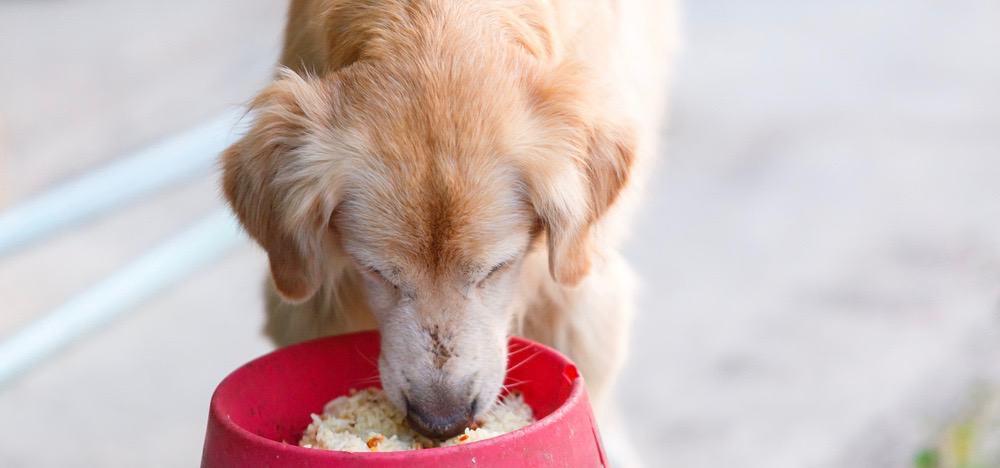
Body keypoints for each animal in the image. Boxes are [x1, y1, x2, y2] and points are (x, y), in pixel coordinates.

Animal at [223, 0, 676, 462]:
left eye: (498, 268)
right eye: (377, 272)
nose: (441, 422)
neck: (437, 23)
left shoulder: (575, 287)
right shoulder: (320, 292)